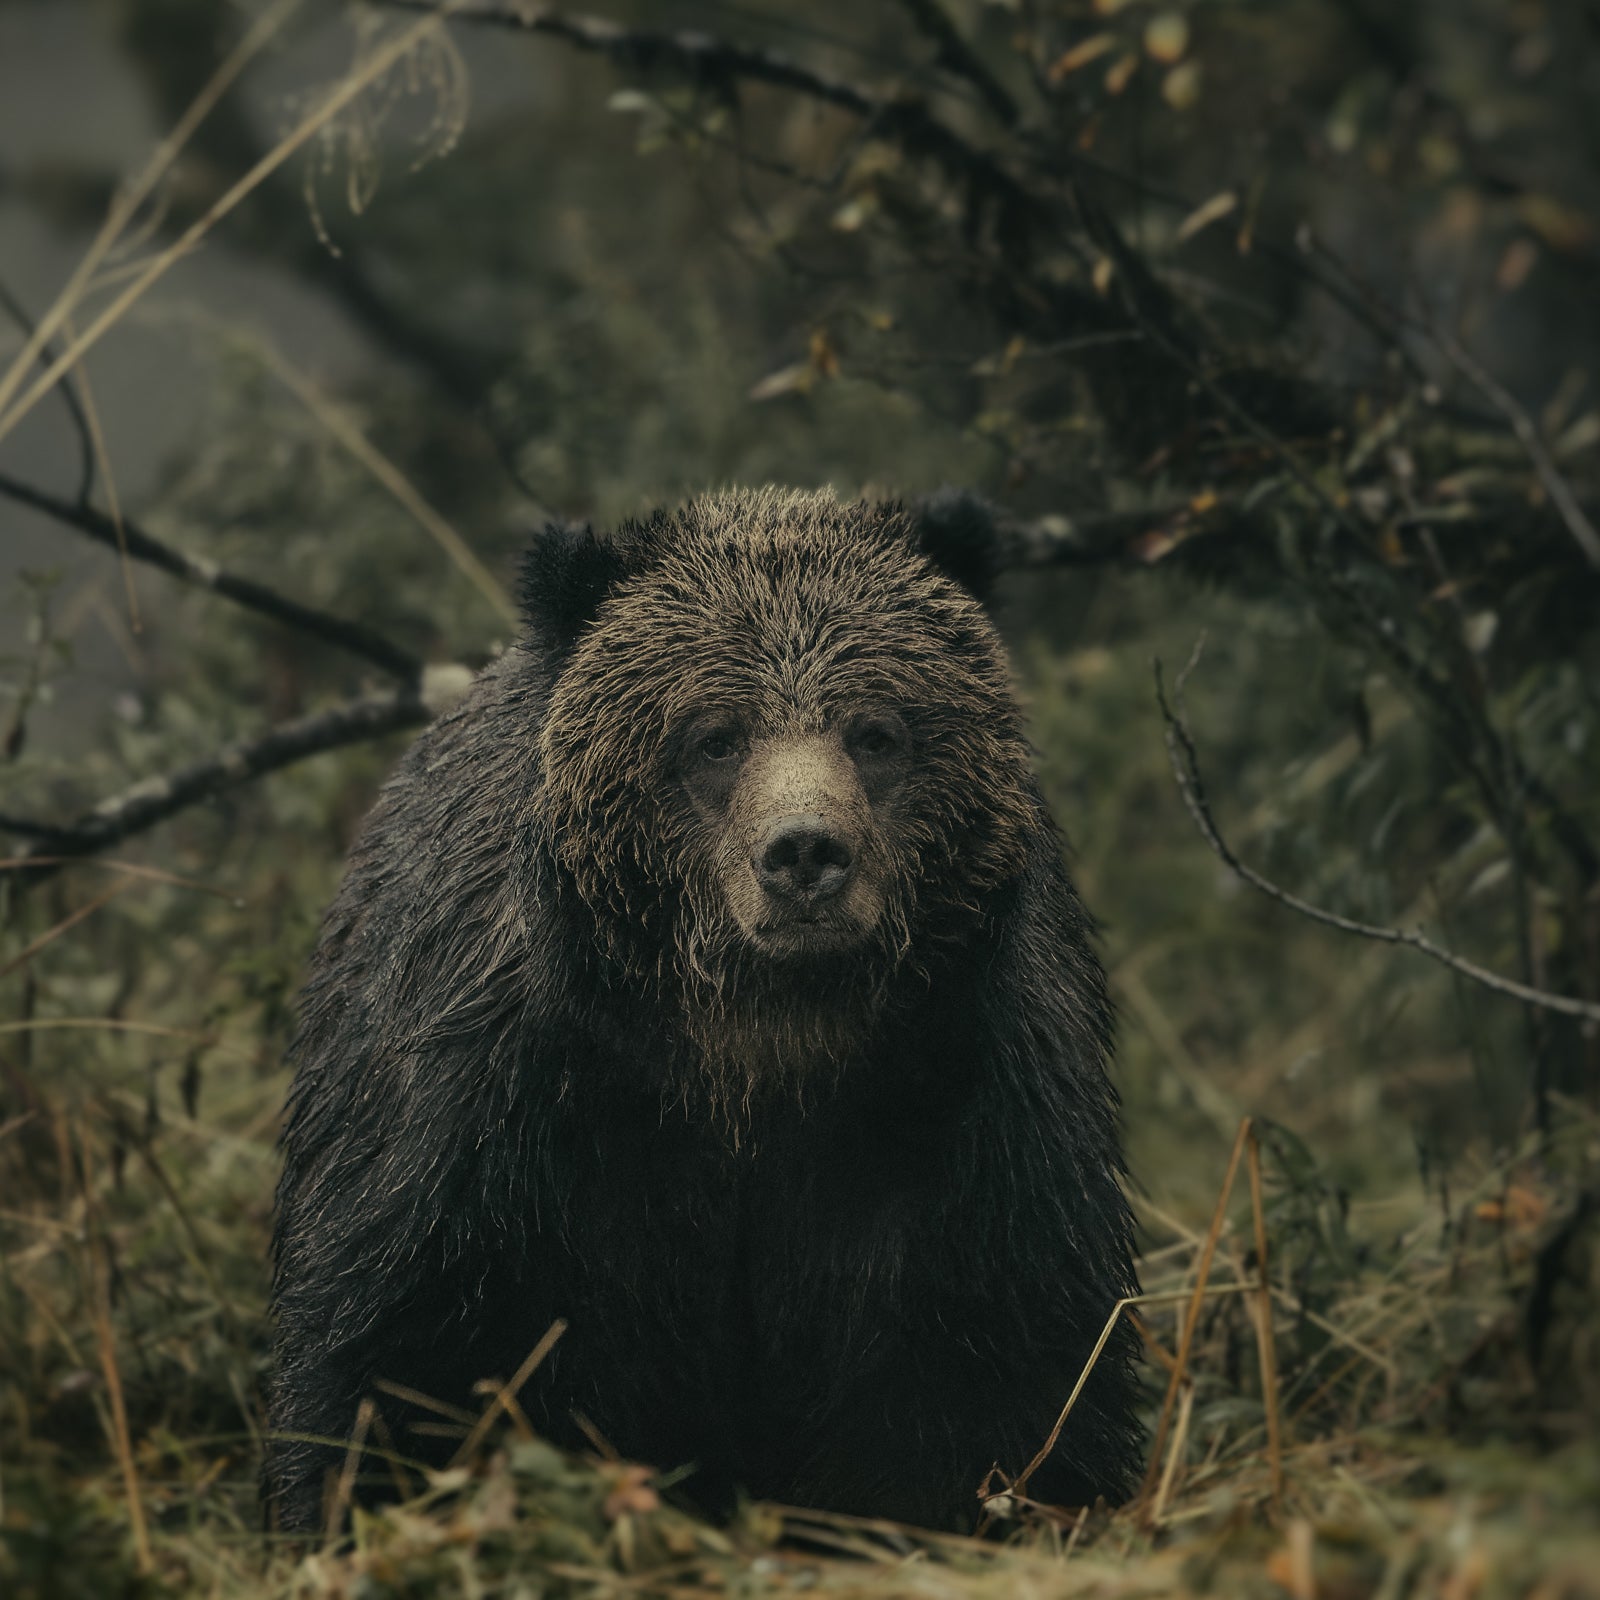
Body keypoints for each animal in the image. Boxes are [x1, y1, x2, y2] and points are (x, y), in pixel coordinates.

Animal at [265, 486, 1141, 1534]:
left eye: (876, 732)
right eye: (716, 737)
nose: (804, 854)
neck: (759, 1047)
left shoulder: (962, 1101)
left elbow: (1007, 1366)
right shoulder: (509, 1110)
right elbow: (409, 1353)